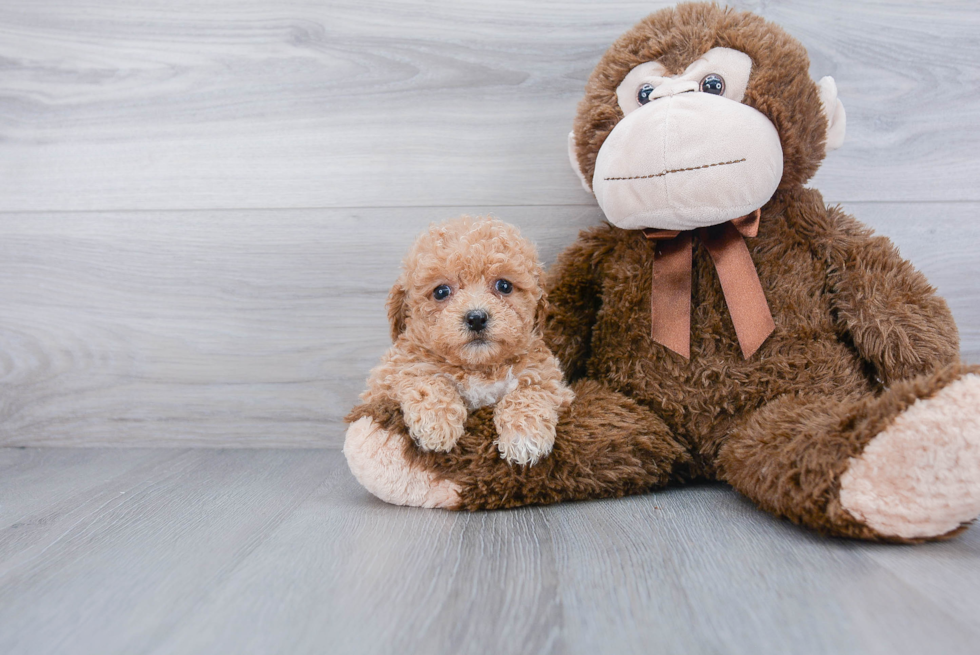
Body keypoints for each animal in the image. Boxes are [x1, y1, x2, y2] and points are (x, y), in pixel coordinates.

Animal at [360, 217, 576, 466]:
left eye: (504, 286)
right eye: (441, 291)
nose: (476, 318)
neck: (477, 368)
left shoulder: (549, 380)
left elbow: (531, 391)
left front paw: (525, 435)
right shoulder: (386, 380)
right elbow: (425, 378)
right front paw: (437, 423)